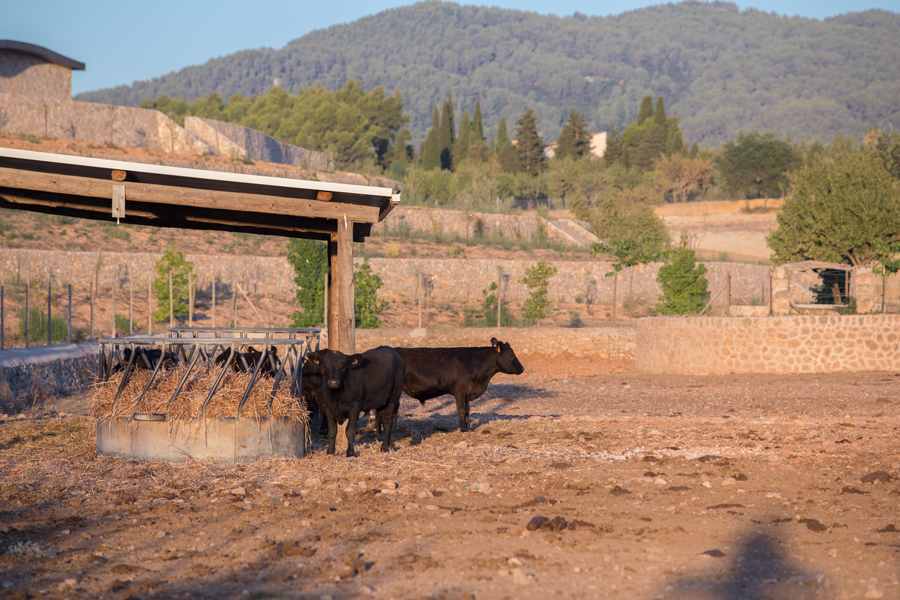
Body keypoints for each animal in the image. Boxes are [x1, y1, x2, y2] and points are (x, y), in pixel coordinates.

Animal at [396, 338, 528, 432]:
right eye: (511, 355)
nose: (522, 368)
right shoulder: (460, 391)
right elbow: (461, 409)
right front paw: (463, 429)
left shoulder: (467, 394)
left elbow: (467, 410)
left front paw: (468, 428)